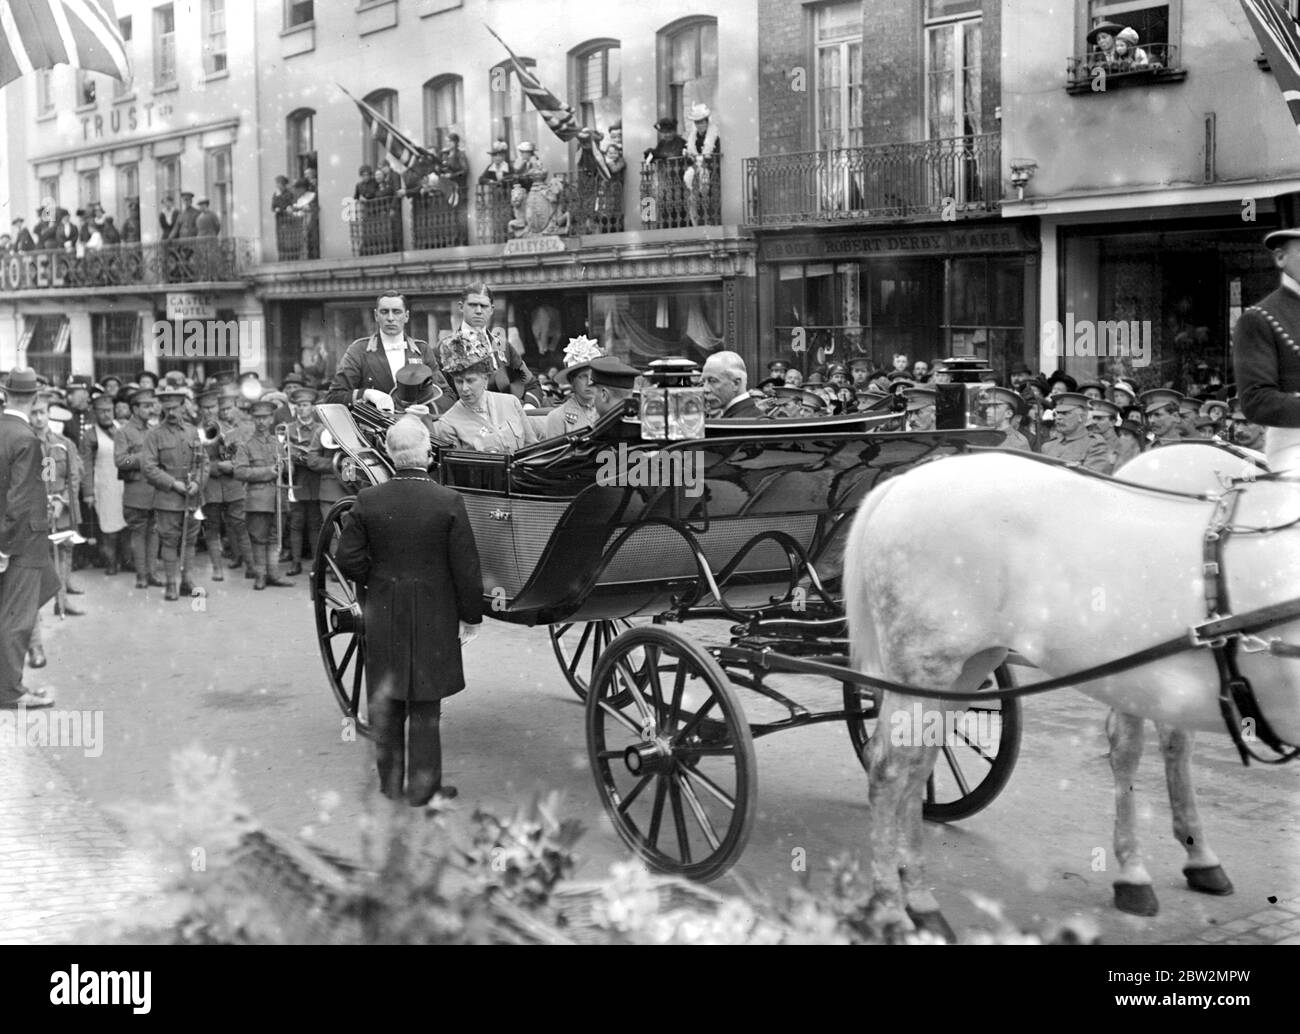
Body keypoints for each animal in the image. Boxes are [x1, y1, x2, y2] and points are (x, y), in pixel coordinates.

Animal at [847, 439, 1294, 936]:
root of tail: (904, 480)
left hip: (966, 669)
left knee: (919, 764)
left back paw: (921, 900)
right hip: (925, 667)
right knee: (889, 769)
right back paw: (891, 907)